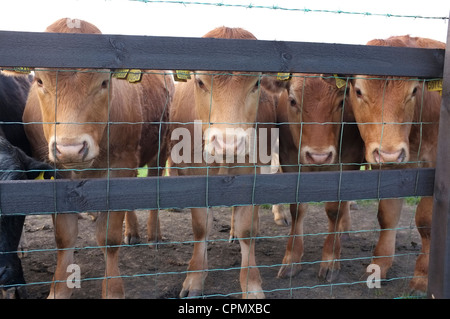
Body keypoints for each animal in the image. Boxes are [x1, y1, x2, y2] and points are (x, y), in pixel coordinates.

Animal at [18, 18, 172, 300]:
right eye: (40, 81)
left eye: (103, 82)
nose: (70, 149)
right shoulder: (56, 173)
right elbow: (64, 238)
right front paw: (59, 290)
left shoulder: (121, 165)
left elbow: (108, 238)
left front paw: (112, 290)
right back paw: (132, 232)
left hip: (161, 145)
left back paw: (152, 234)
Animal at [167, 26, 276, 298]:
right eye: (200, 82)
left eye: (256, 83)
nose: (228, 143)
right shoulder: (192, 172)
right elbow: (201, 226)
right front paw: (195, 277)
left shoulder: (250, 171)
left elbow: (247, 228)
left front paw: (251, 284)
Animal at [272, 74, 364, 282]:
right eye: (292, 101)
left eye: (341, 102)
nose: (319, 156)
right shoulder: (289, 160)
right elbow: (297, 208)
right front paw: (292, 258)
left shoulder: (349, 160)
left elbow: (335, 209)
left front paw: (330, 259)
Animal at [348, 35, 442, 296]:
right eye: (358, 91)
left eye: (414, 90)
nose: (389, 153)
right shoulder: (388, 169)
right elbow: (387, 216)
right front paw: (378, 267)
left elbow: (426, 222)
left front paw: (422, 276)